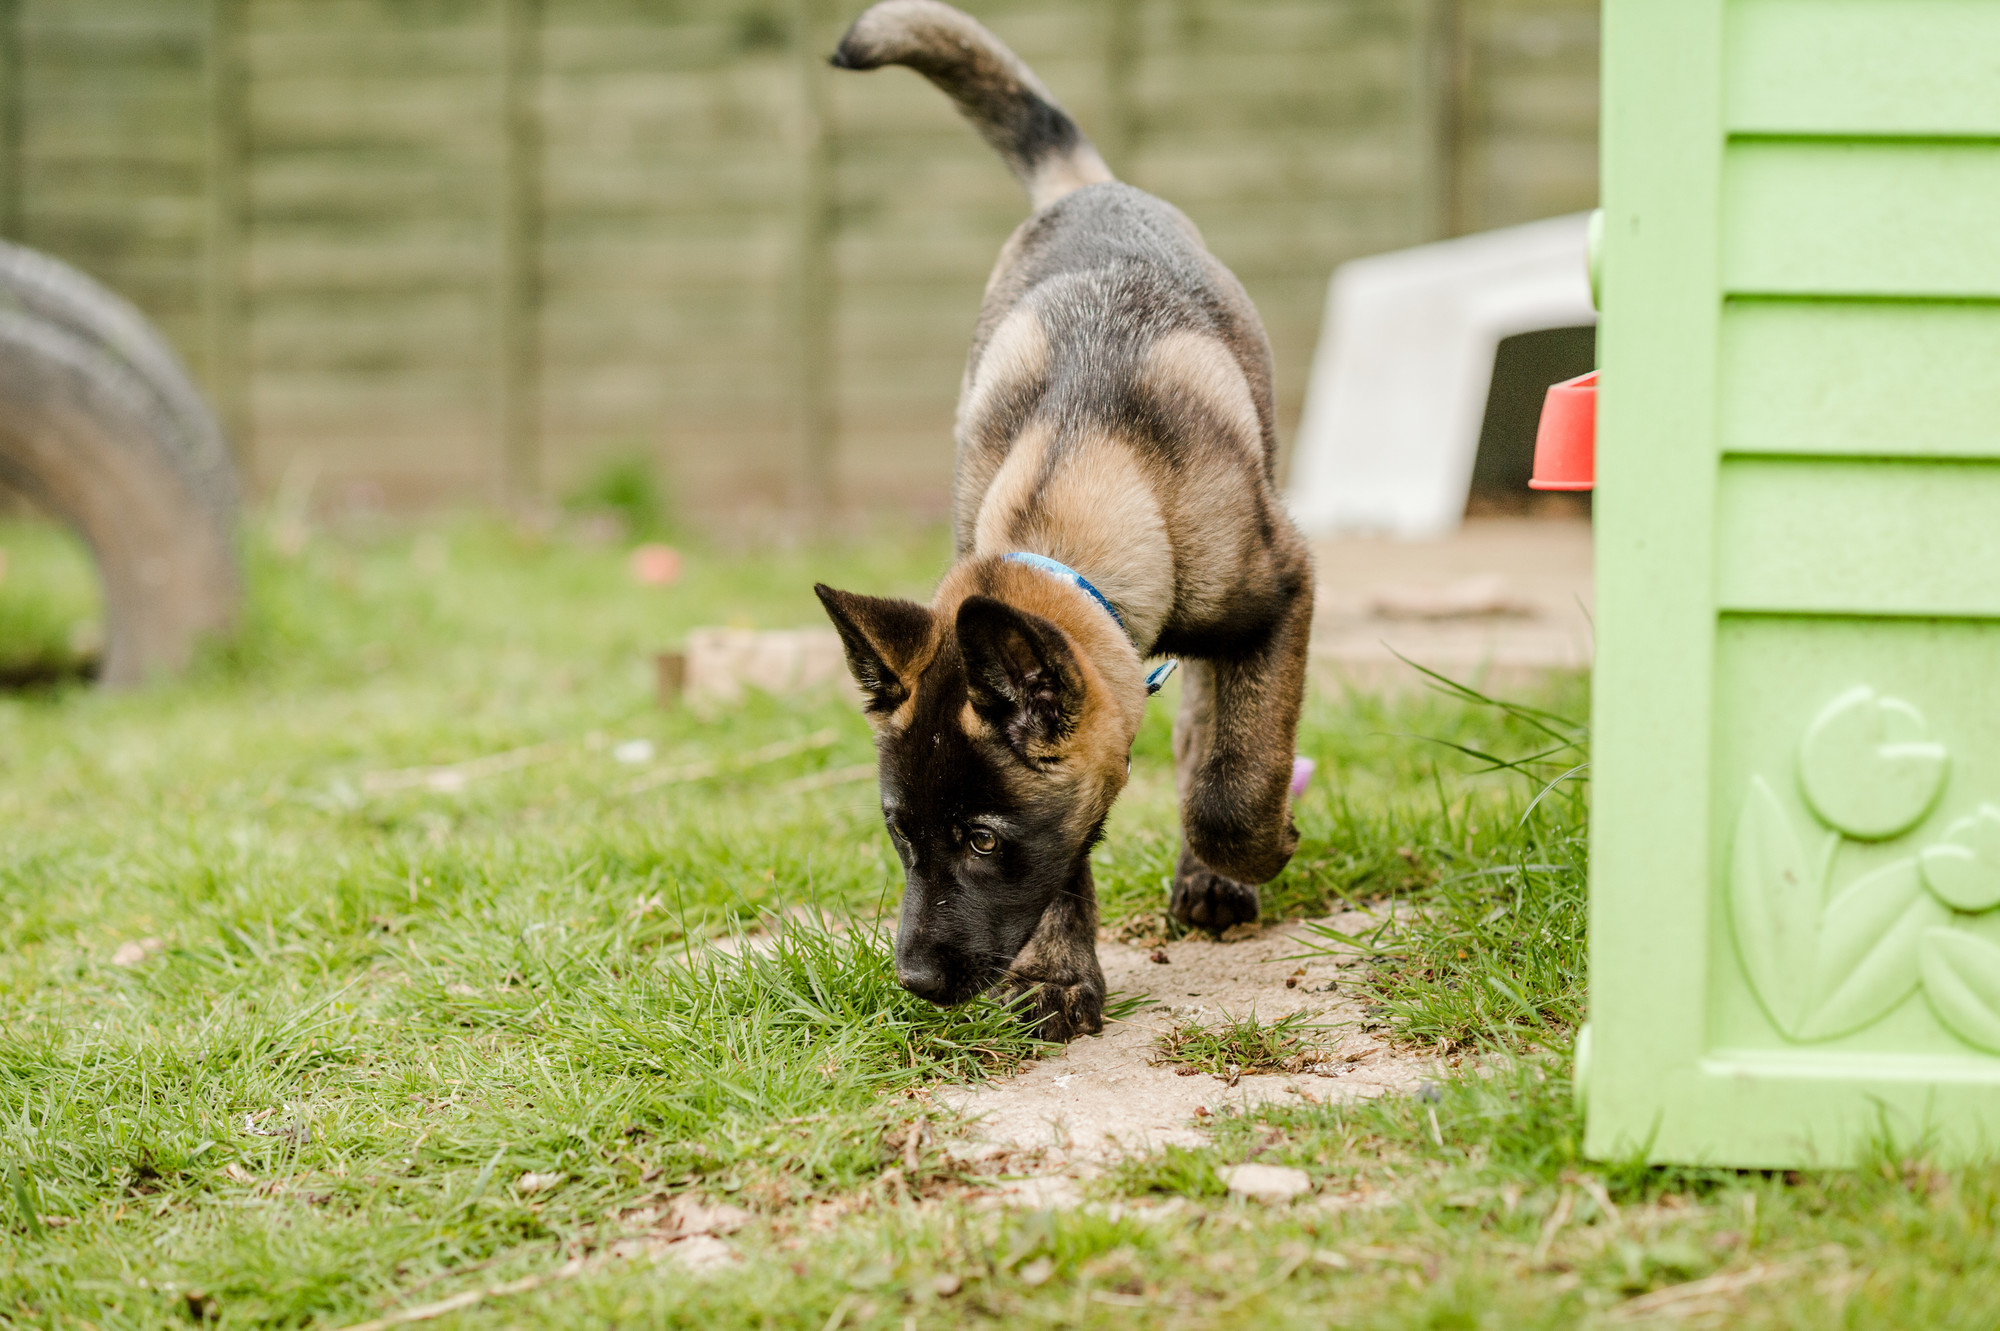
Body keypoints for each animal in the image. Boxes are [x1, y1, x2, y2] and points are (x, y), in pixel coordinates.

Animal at [812, 0, 1312, 1039]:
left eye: (982, 838)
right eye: (899, 833)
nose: (914, 981)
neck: (1084, 456)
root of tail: (1093, 190)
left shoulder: (1284, 591)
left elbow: (1234, 780)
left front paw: (1254, 847)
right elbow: (1073, 851)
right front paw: (1054, 973)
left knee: (1213, 729)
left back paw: (1216, 877)